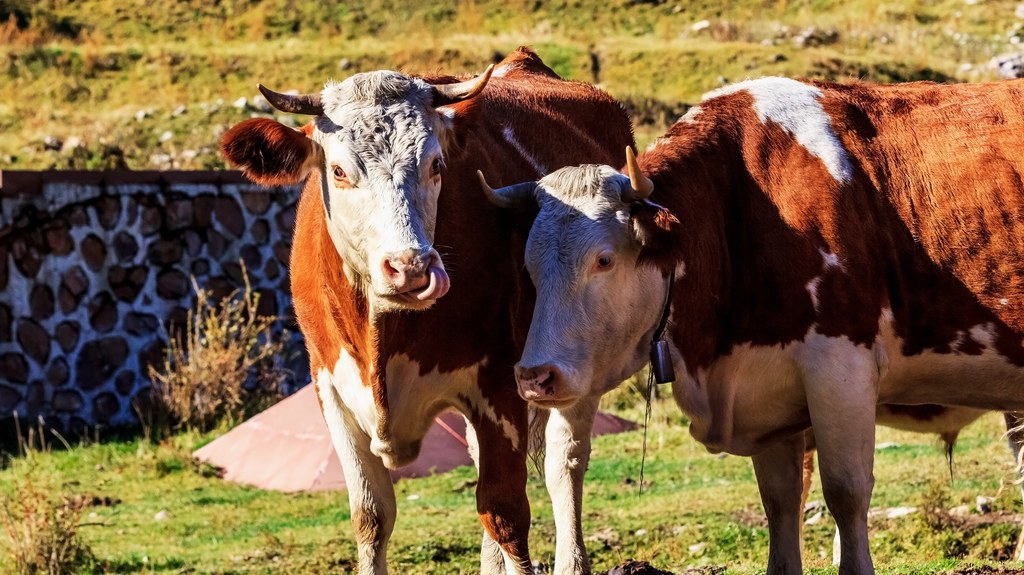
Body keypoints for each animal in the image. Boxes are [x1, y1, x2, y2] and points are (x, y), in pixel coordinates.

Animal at [218, 47, 630, 568]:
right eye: (339, 171)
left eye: (436, 165)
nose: (410, 267)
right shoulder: (330, 388)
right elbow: (370, 515)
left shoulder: (500, 386)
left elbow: (506, 513)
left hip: (579, 359)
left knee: (564, 464)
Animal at [479, 77, 1024, 572]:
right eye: (528, 265)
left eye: (605, 260)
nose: (534, 376)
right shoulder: (768, 393)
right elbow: (780, 502)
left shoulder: (841, 369)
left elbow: (846, 492)